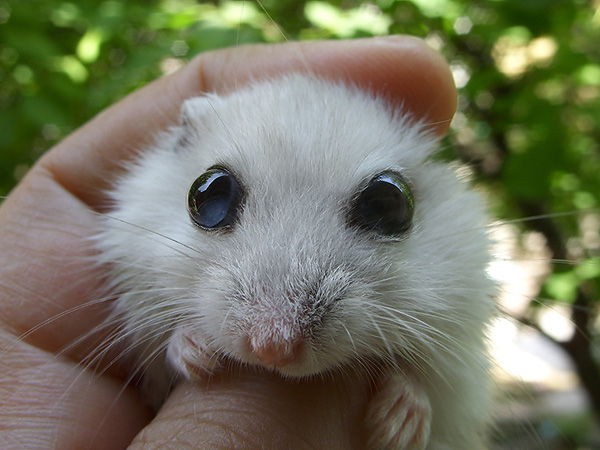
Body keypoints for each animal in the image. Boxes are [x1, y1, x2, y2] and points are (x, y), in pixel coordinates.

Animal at [96, 75, 494, 448]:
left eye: (391, 201)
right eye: (206, 192)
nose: (272, 349)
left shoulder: (462, 341)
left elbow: (430, 383)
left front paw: (395, 426)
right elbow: (162, 348)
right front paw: (199, 358)